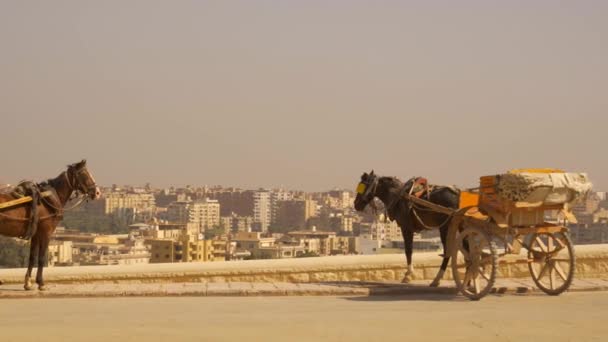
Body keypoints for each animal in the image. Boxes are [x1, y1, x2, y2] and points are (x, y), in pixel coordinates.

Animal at [0, 162, 98, 290]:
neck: (48, 199)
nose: (97, 192)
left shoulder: (35, 233)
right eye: (84, 174)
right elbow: (41, 258)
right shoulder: (46, 232)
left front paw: (28, 283)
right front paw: (41, 283)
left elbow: (32, 257)